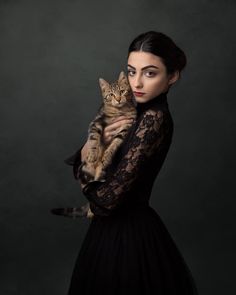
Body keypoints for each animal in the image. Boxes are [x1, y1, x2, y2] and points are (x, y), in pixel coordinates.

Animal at [50, 71, 137, 220]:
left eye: (122, 91)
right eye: (111, 95)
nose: (119, 99)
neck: (119, 111)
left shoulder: (126, 127)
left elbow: (115, 143)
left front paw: (107, 155)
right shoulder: (96, 122)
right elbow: (94, 138)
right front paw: (92, 154)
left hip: (102, 173)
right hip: (84, 171)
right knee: (88, 189)